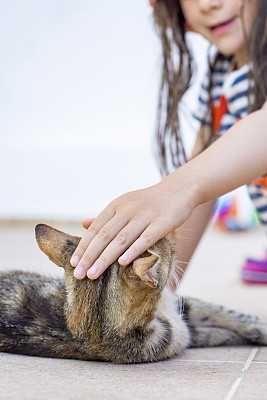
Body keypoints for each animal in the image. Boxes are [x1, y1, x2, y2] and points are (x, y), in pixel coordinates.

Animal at [0, 223, 266, 364]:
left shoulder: (181, 305)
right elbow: (218, 329)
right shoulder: (177, 324)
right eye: (162, 242)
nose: (170, 236)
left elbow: (229, 315)